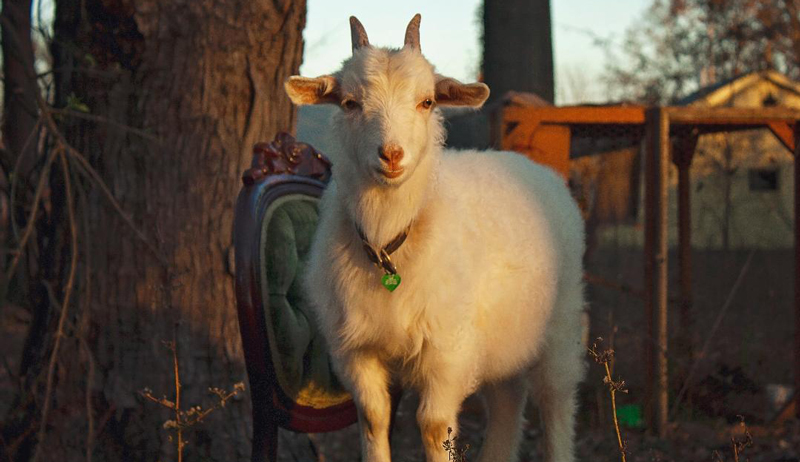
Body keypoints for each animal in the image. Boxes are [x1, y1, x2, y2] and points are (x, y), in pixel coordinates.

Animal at [285, 14, 586, 462]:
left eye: (427, 102)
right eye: (349, 103)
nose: (391, 155)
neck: (391, 241)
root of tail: (532, 166)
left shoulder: (447, 352)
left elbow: (433, 426)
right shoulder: (356, 351)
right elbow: (373, 419)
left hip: (561, 326)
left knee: (556, 400)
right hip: (503, 339)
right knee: (508, 399)